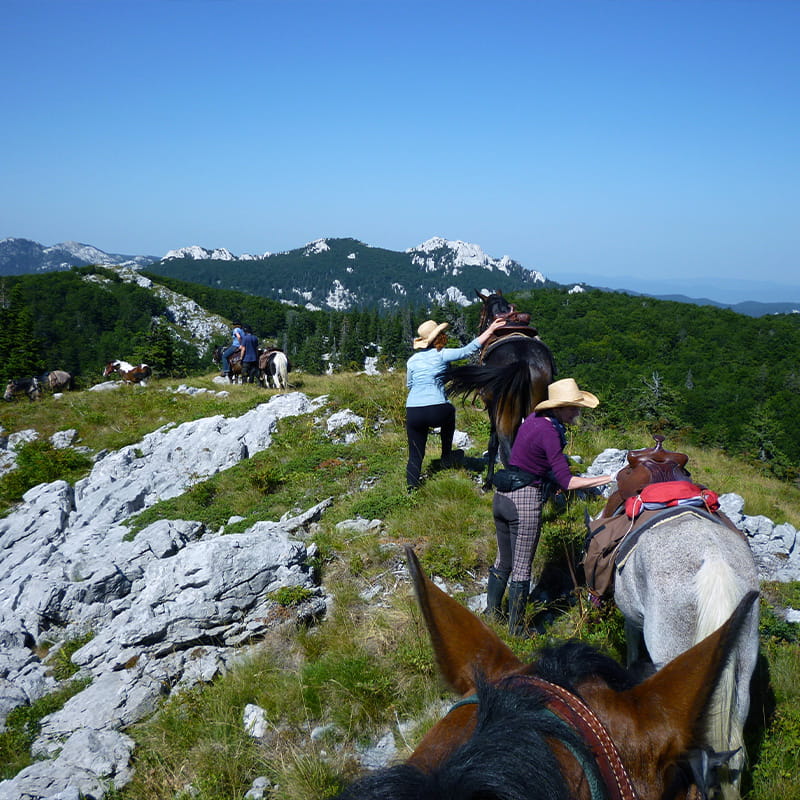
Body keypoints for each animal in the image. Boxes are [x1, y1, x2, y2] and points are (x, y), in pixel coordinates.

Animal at [444, 290, 556, 487]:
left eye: (481, 312)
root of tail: (522, 360)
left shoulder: (491, 408)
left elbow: (492, 443)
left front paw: (488, 482)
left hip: (502, 411)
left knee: (505, 447)